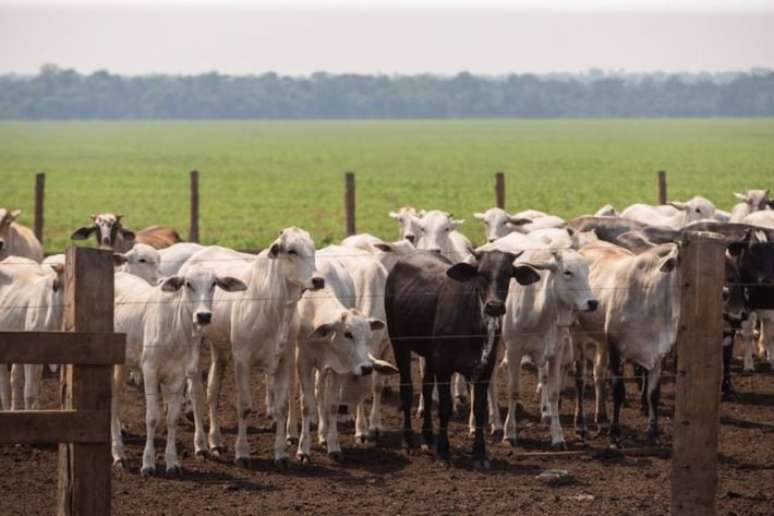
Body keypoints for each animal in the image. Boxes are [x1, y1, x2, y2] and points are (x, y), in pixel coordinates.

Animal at [110, 268, 246, 474]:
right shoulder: (149, 371)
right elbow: (152, 417)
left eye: (213, 284)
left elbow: (172, 418)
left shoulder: (178, 376)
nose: (203, 316)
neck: (176, 330)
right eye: (188, 284)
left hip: (122, 364)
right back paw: (118, 454)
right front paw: (148, 463)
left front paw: (172, 462)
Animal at [181, 228, 324, 466]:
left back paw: (216, 442)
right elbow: (244, 406)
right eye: (291, 251)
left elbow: (282, 405)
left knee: (212, 390)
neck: (273, 307)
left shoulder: (284, 358)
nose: (318, 279)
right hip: (195, 340)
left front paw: (281, 453)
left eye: (313, 249)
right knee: (196, 392)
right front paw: (242, 452)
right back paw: (200, 446)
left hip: (219, 349)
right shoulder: (242, 359)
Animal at [384, 249, 544, 468]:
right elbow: (445, 407)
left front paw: (480, 453)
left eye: (507, 274)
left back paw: (427, 438)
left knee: (426, 388)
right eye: (481, 274)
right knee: (407, 389)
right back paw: (408, 441)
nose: (494, 306)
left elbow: (479, 409)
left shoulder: (484, 368)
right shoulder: (444, 366)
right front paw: (444, 452)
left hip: (429, 354)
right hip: (399, 343)